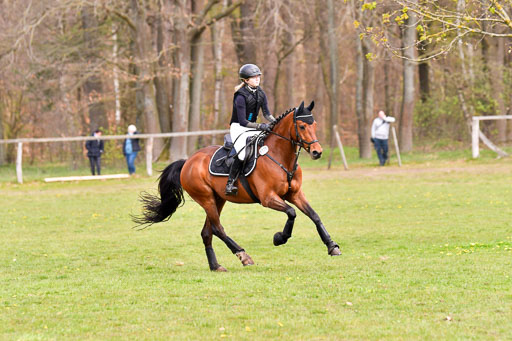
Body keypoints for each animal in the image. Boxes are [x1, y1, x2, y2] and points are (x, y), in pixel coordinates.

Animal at [135, 101, 340, 270]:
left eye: (315, 125)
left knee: (207, 232)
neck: (281, 157)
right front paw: (280, 238)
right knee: (218, 229)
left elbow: (314, 215)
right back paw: (243, 256)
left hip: (218, 199)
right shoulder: (268, 198)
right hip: (206, 198)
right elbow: (291, 212)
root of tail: (188, 161)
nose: (317, 152)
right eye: (302, 126)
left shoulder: (295, 194)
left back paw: (216, 266)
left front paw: (332, 246)